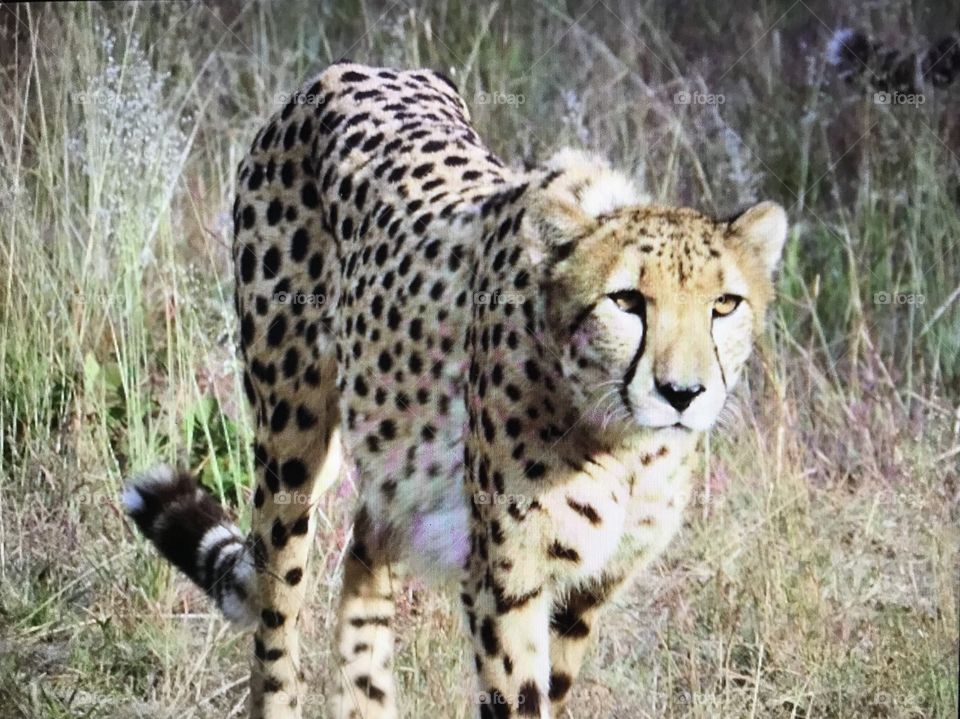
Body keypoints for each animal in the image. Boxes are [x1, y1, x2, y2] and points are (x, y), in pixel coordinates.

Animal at [122, 60, 788, 719]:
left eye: (724, 305)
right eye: (626, 301)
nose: (683, 393)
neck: (627, 448)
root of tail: (349, 69)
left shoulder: (586, 592)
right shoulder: (506, 585)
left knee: (366, 544)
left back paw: (366, 702)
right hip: (292, 438)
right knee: (275, 614)